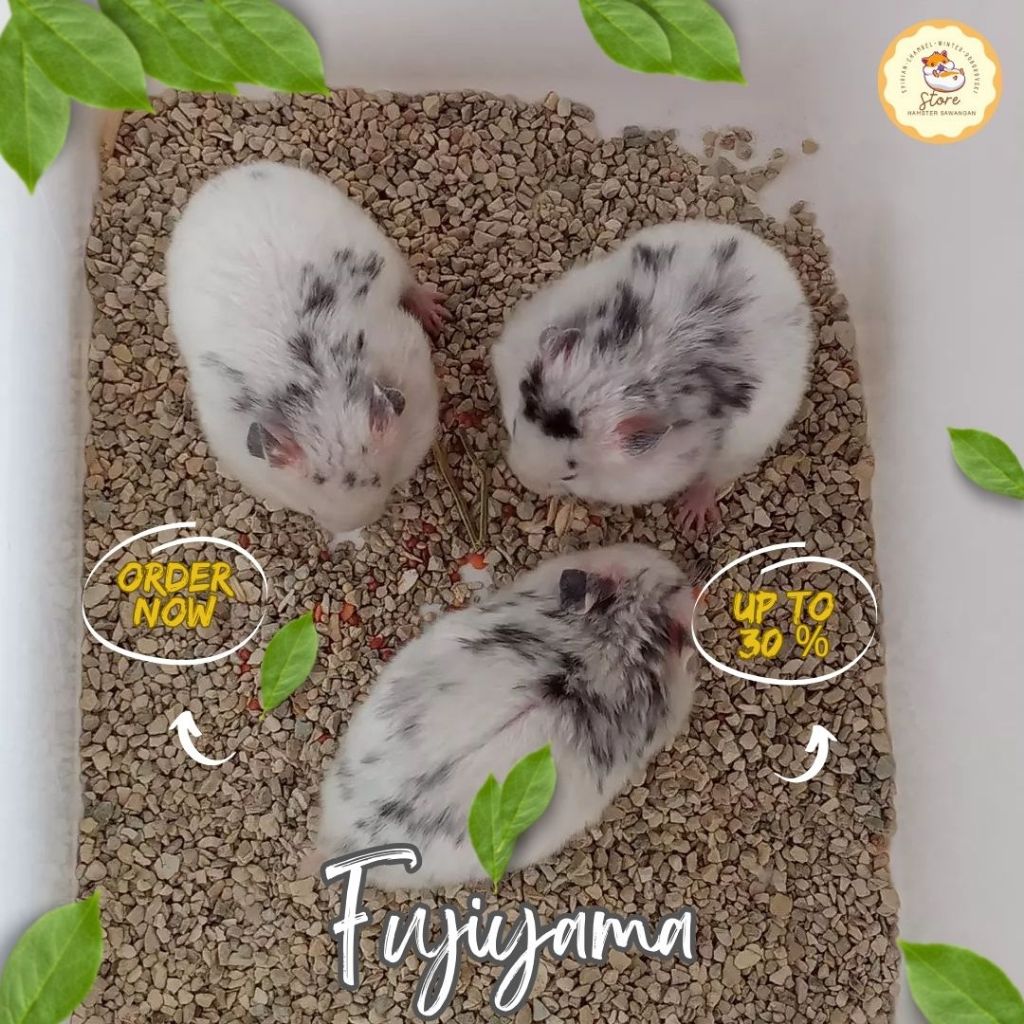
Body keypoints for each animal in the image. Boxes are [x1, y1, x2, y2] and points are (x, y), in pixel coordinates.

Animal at [166, 161, 445, 541]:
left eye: (383, 486)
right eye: (311, 511)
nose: (354, 528)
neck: (321, 396)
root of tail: (233, 174)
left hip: (387, 250)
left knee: (412, 285)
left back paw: (436, 312)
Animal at [491, 221, 812, 532]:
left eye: (572, 472)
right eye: (515, 426)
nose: (523, 479)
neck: (616, 371)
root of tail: (781, 269)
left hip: (745, 445)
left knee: (713, 479)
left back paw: (691, 517)